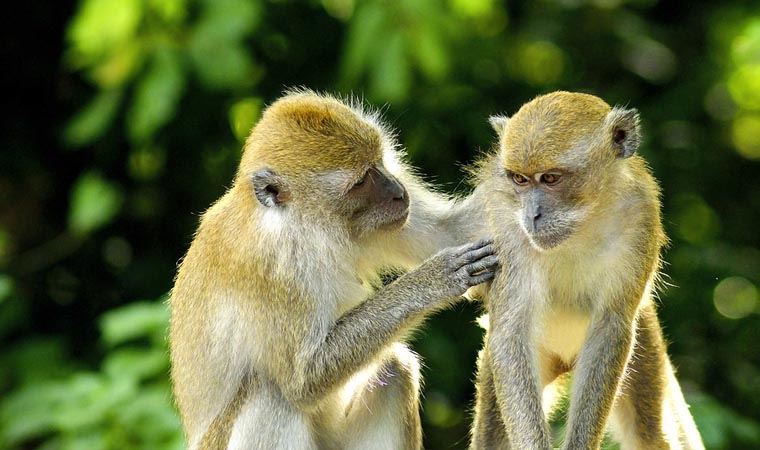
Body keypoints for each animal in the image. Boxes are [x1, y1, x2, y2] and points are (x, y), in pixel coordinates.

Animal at [169, 89, 496, 448]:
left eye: (379, 162)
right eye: (361, 182)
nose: (399, 192)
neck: (303, 227)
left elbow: (450, 232)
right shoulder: (270, 268)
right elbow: (303, 379)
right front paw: (436, 278)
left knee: (393, 369)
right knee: (272, 395)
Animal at [472, 92, 704, 450]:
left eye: (551, 179)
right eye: (520, 180)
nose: (532, 215)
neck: (585, 220)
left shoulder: (640, 217)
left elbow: (610, 327)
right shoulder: (507, 226)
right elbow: (511, 330)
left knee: (652, 433)